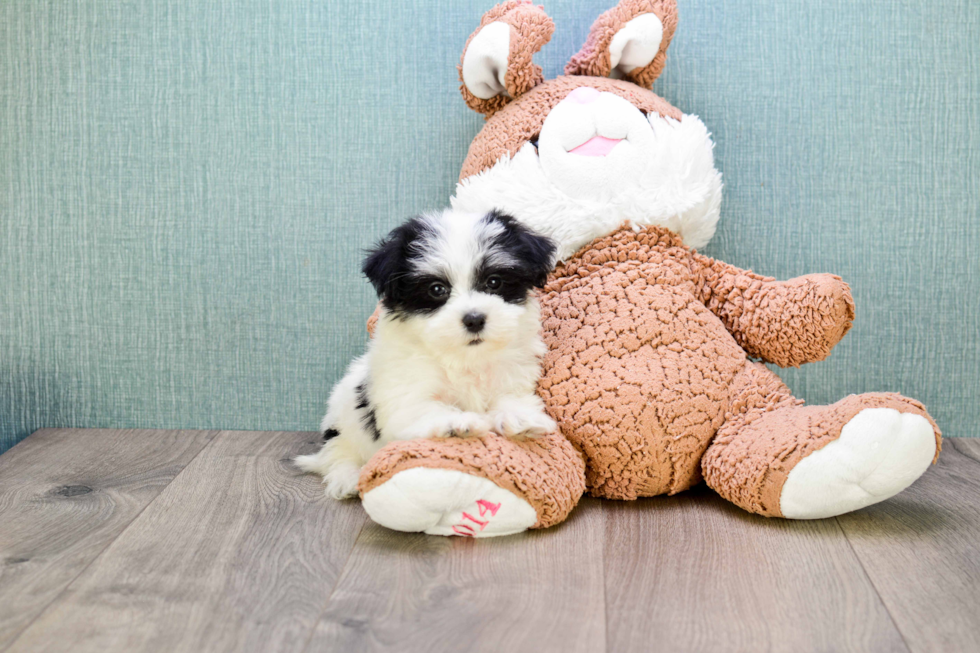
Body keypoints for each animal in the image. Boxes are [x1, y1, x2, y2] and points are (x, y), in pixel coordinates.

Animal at [294, 209, 560, 500]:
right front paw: (457, 422)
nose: (474, 319)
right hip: (343, 421)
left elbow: (511, 397)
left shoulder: (511, 374)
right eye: (436, 289)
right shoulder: (404, 393)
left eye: (494, 282)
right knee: (338, 452)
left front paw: (519, 417)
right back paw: (347, 477)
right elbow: (426, 407)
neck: (464, 357)